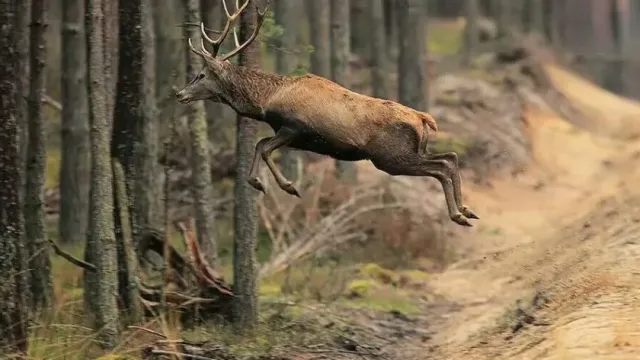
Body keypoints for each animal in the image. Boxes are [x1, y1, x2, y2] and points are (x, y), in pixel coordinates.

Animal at [174, 0, 476, 226]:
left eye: (201, 75)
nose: (179, 94)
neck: (266, 101)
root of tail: (423, 119)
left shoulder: (295, 127)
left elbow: (263, 146)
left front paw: (286, 186)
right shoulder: (294, 137)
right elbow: (261, 145)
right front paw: (263, 183)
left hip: (391, 157)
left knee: (441, 166)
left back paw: (458, 214)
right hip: (410, 152)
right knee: (450, 157)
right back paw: (465, 211)